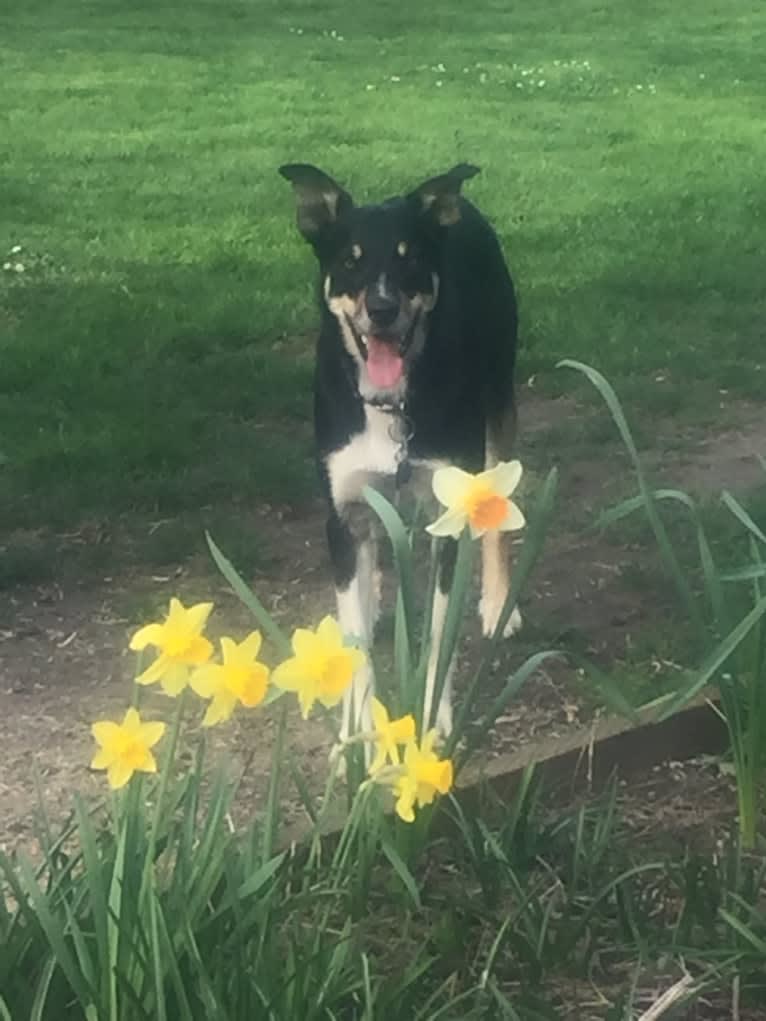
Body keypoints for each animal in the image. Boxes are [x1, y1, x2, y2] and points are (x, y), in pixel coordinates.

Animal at [279, 161, 518, 743]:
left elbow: (439, 633)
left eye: (409, 258)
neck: (390, 404)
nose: (382, 308)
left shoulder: (449, 511)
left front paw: (433, 721)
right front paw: (356, 735)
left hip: (500, 402)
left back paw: (499, 602)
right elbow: (354, 639)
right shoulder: (342, 512)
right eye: (350, 260)